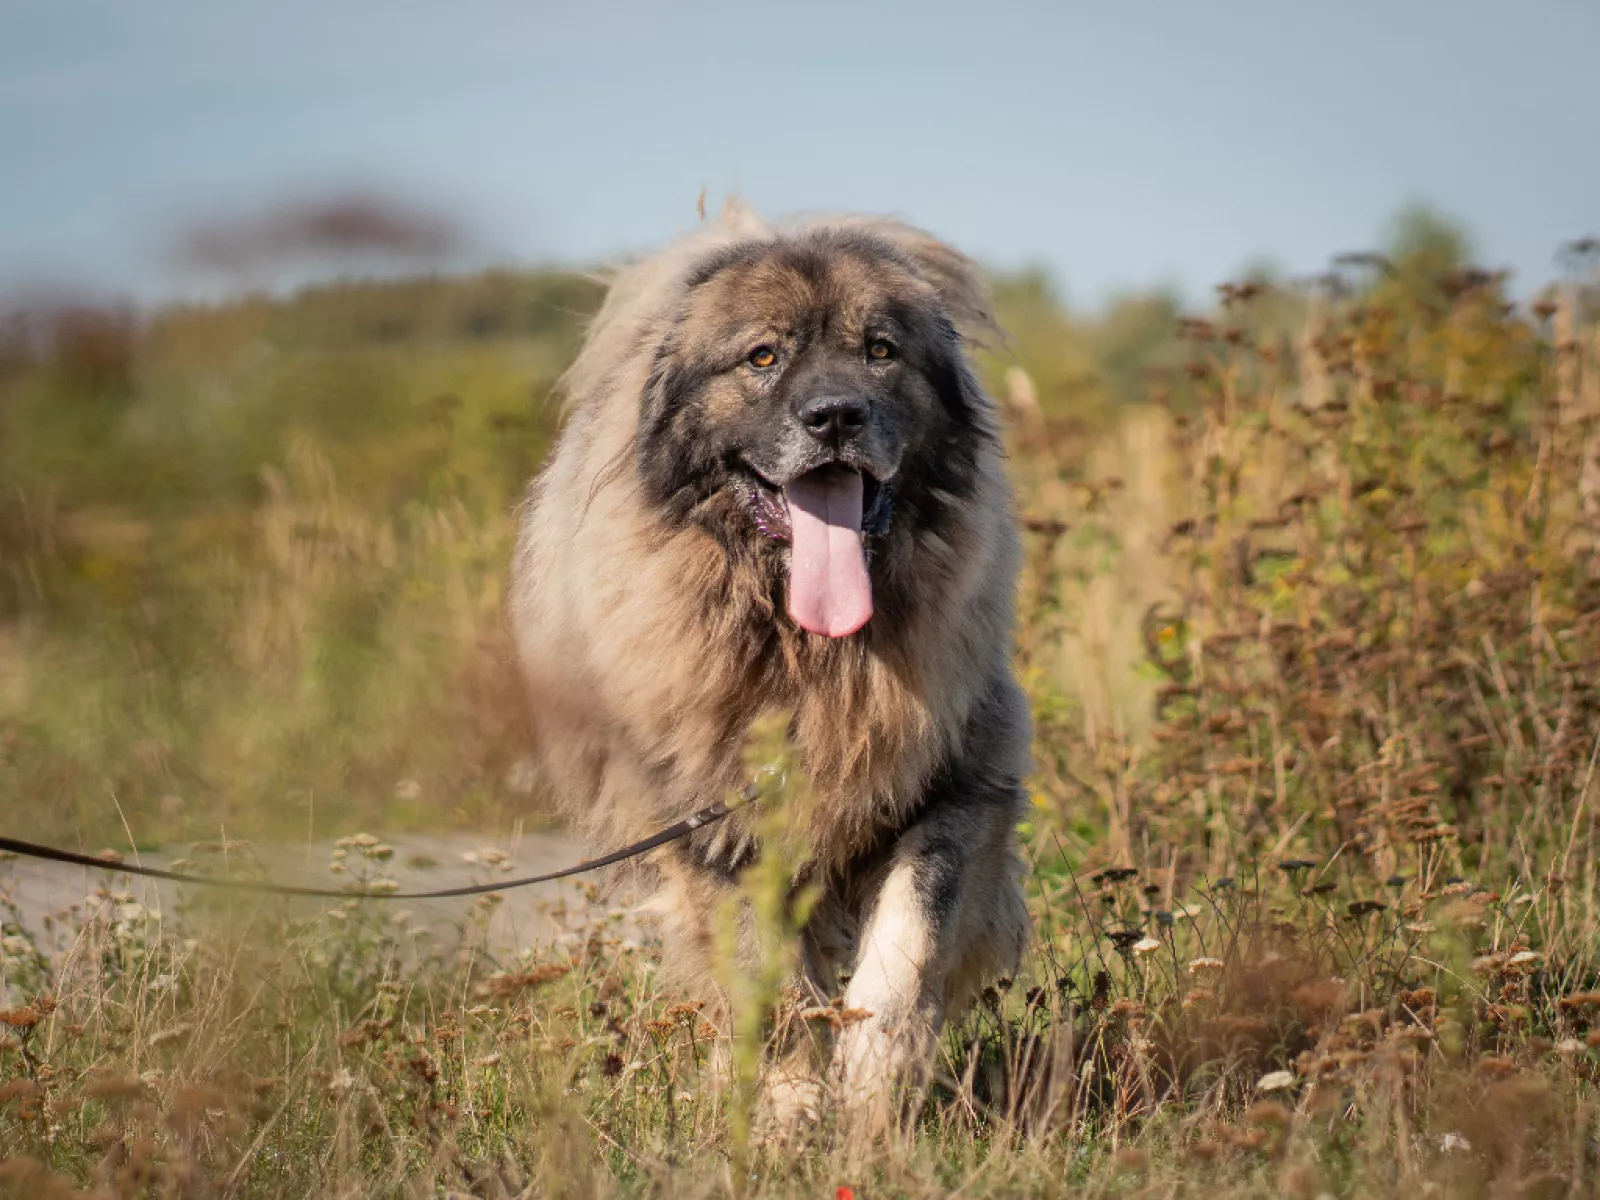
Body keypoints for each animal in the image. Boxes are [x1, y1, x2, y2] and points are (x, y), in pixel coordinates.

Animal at [509, 204, 1031, 1131]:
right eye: (763, 357)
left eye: (880, 351)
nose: (835, 417)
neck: (808, 650)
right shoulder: (714, 826)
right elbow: (769, 981)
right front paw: (788, 1111)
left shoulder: (960, 787)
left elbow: (910, 941)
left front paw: (876, 1077)